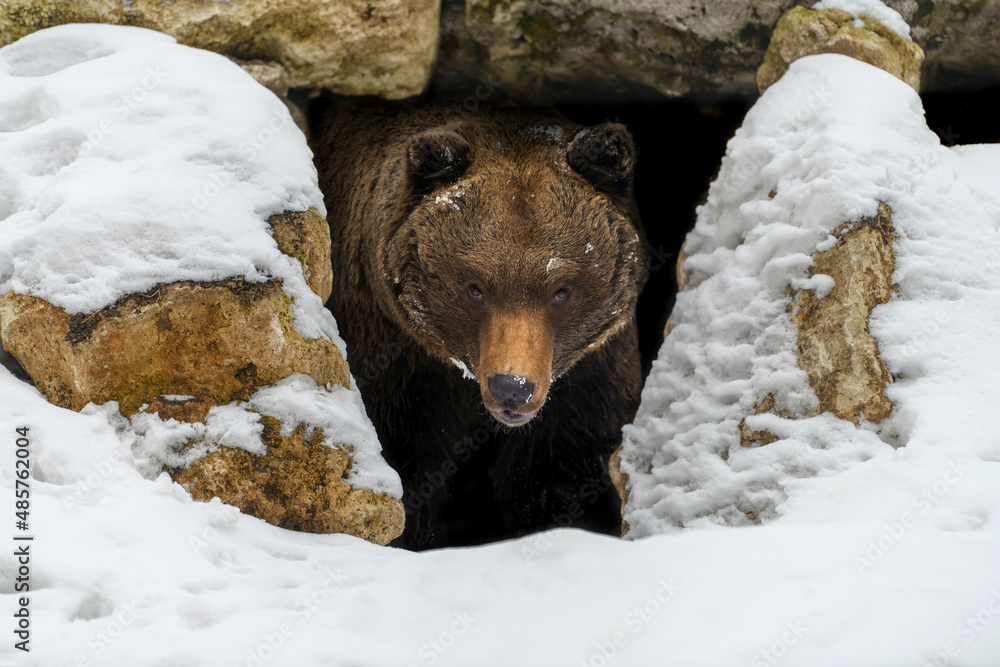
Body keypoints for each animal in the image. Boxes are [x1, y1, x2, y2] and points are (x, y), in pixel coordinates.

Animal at [316, 98, 652, 548]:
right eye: (475, 288)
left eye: (561, 291)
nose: (512, 386)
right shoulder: (397, 356)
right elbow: (406, 460)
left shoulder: (588, 374)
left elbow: (560, 473)